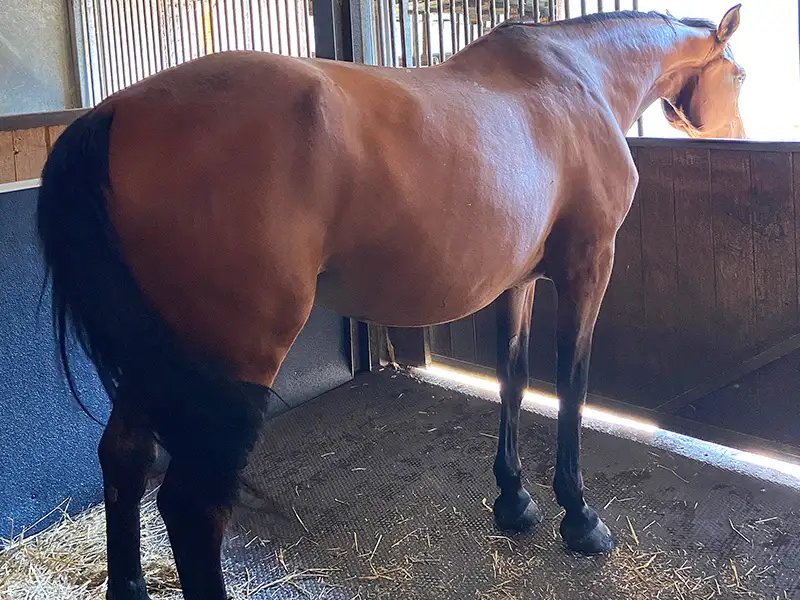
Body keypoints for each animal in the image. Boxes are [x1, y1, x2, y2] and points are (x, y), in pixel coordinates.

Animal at [37, 6, 745, 599]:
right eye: (738, 73)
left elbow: (513, 380)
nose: (736, 136)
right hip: (230, 358)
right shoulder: (586, 269)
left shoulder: (517, 282)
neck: (578, 78)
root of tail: (112, 115)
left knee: (125, 459)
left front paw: (514, 501)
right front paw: (580, 518)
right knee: (191, 504)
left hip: (152, 358)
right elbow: (572, 384)